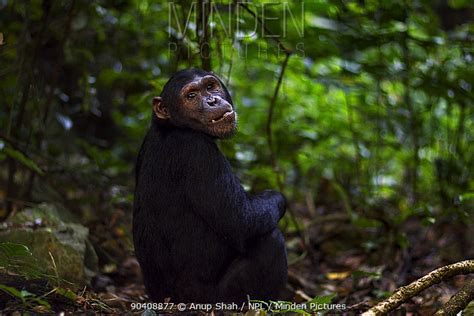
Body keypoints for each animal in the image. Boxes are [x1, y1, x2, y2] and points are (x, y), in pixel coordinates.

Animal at [134, 69, 288, 304]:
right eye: (191, 96)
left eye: (210, 87)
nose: (212, 100)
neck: (174, 127)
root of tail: (165, 300)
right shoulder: (198, 153)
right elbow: (241, 220)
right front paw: (278, 197)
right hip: (215, 297)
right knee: (271, 239)